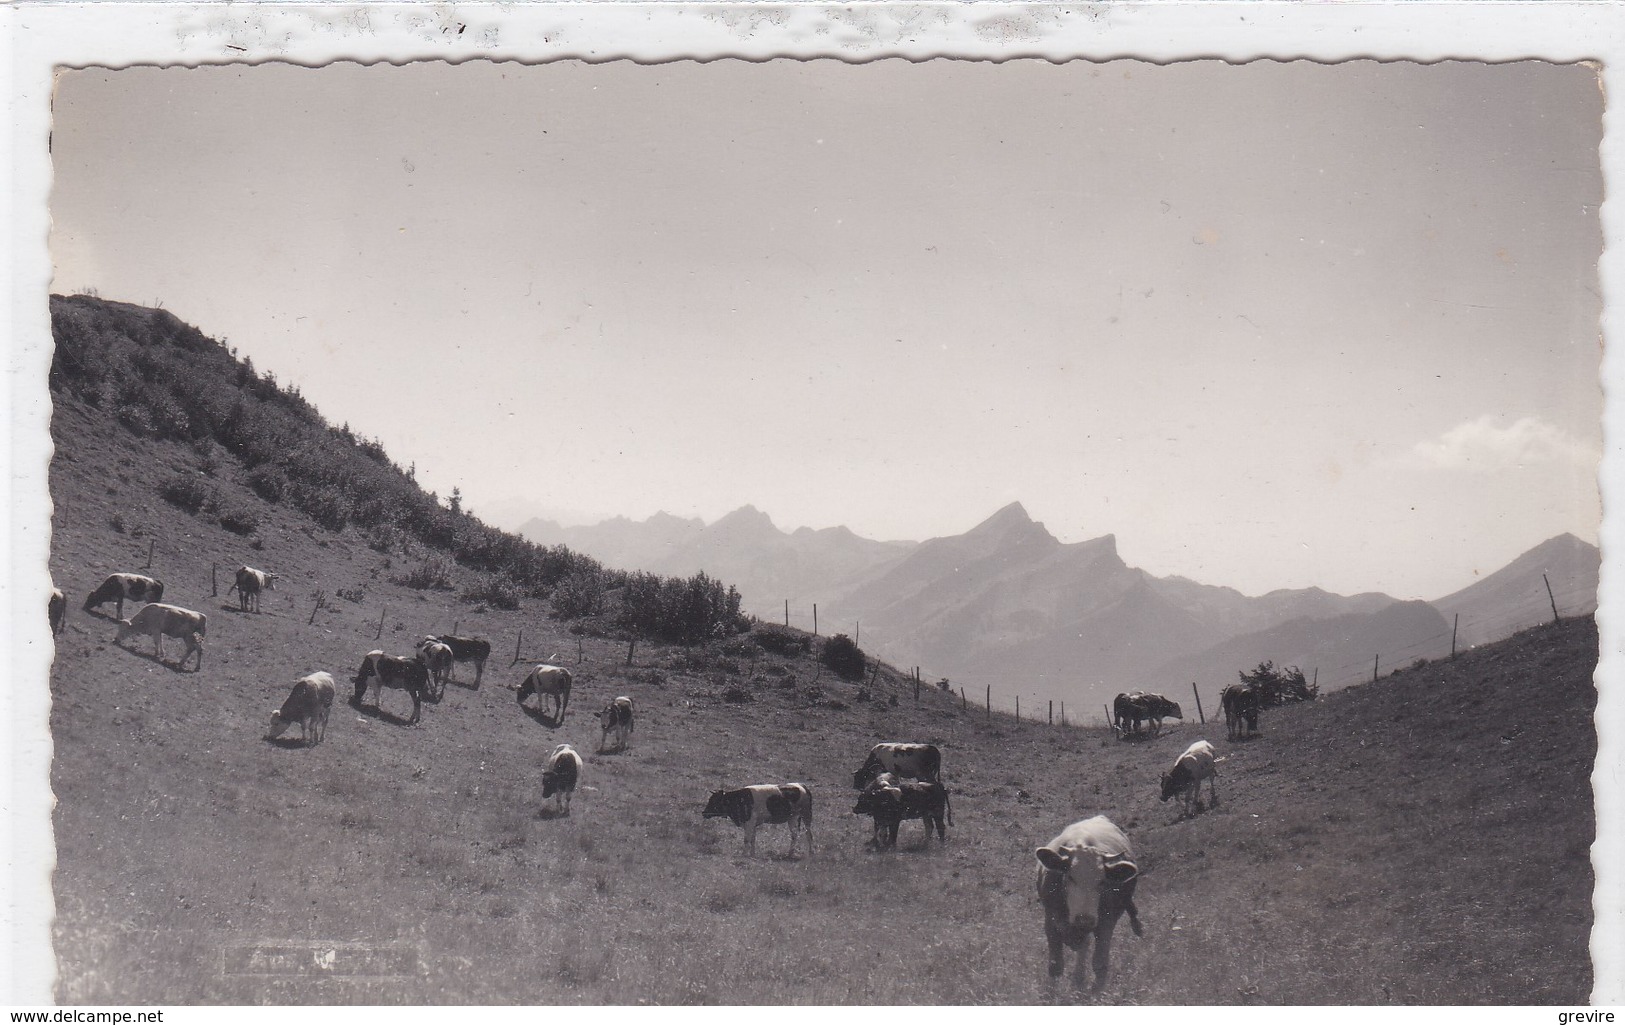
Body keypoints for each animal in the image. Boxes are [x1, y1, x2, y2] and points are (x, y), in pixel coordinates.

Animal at [1040, 815, 1144, 987]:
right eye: (1070, 877)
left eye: (1102, 882)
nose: (1084, 919)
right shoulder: (1050, 919)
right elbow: (1055, 965)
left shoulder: (1106, 924)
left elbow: (1099, 963)